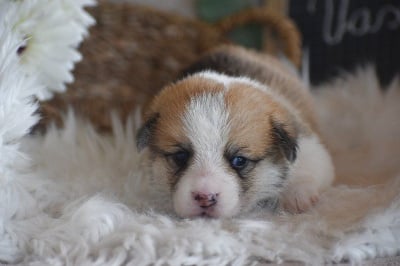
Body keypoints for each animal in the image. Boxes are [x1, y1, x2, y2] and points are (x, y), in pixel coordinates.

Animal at [136, 44, 332, 217]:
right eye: (180, 157)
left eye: (239, 161)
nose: (205, 198)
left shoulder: (310, 147)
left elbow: (308, 168)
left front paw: (297, 195)